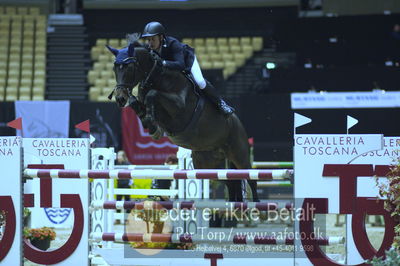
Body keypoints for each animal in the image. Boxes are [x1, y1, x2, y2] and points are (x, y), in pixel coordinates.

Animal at [105, 40, 260, 202]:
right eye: (115, 68)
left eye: (129, 67)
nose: (120, 98)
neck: (157, 77)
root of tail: (237, 122)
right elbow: (136, 103)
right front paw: (151, 126)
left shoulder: (179, 109)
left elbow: (153, 95)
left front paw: (152, 124)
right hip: (207, 164)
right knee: (230, 182)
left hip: (239, 154)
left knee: (251, 179)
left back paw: (257, 207)